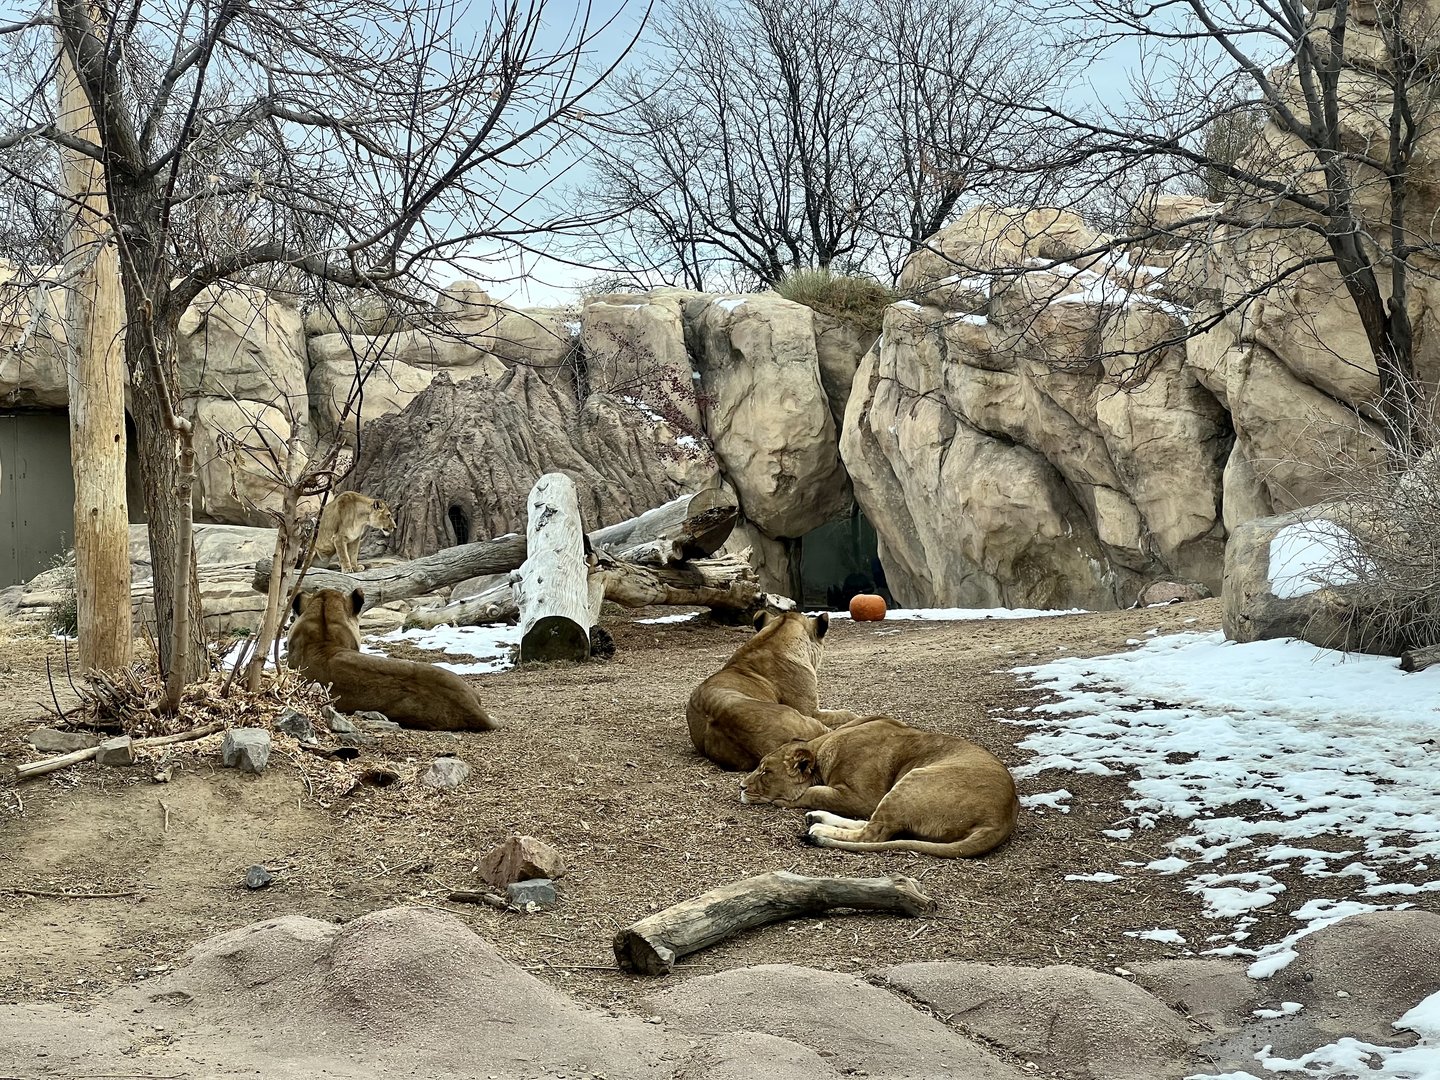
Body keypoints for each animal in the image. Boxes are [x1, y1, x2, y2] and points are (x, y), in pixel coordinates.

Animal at [740, 715, 1019, 858]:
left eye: (765, 771)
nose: (741, 786)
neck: (821, 748)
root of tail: (1001, 819)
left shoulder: (863, 798)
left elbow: (813, 792)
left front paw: (786, 799)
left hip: (912, 780)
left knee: (873, 834)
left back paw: (817, 829)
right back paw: (816, 819)